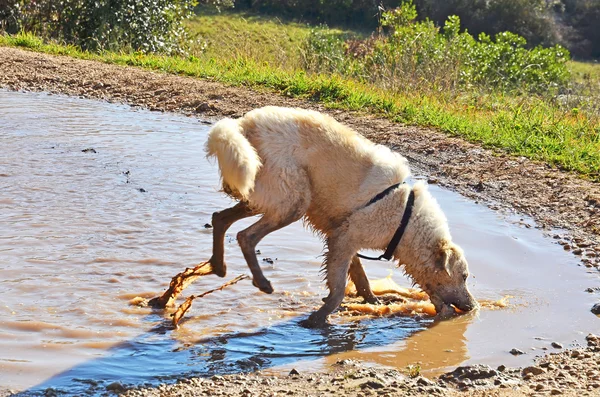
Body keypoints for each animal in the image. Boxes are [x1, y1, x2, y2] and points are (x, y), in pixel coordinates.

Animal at [205, 105, 474, 324]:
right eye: (464, 276)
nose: (472, 306)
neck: (406, 221)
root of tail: (242, 124)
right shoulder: (345, 238)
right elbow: (339, 288)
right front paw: (318, 320)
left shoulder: (343, 235)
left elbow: (359, 277)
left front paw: (373, 302)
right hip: (291, 201)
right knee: (245, 236)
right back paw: (262, 283)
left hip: (268, 198)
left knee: (220, 218)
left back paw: (218, 266)